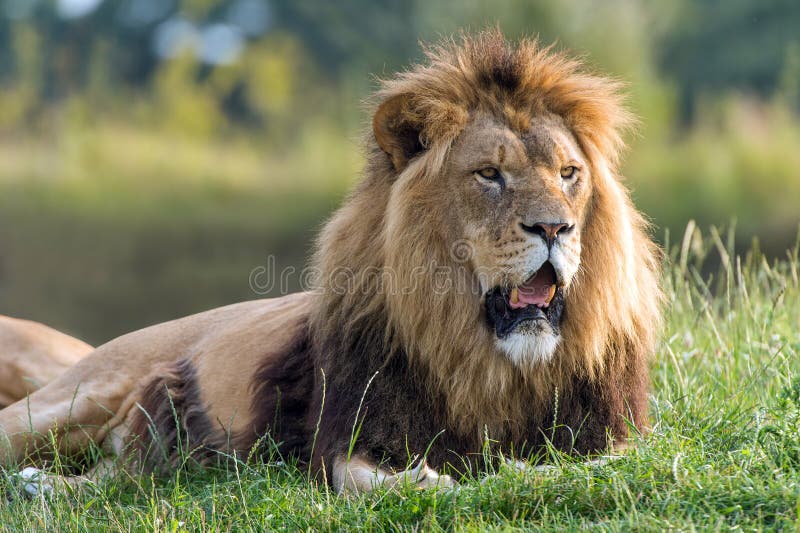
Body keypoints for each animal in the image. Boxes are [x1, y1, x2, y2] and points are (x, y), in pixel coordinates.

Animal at [0, 31, 662, 494]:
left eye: (568, 173)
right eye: (488, 174)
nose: (554, 228)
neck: (486, 362)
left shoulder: (613, 429)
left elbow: (597, 463)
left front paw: (529, 471)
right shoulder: (348, 430)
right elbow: (364, 480)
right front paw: (430, 482)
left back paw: (44, 488)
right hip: (66, 402)